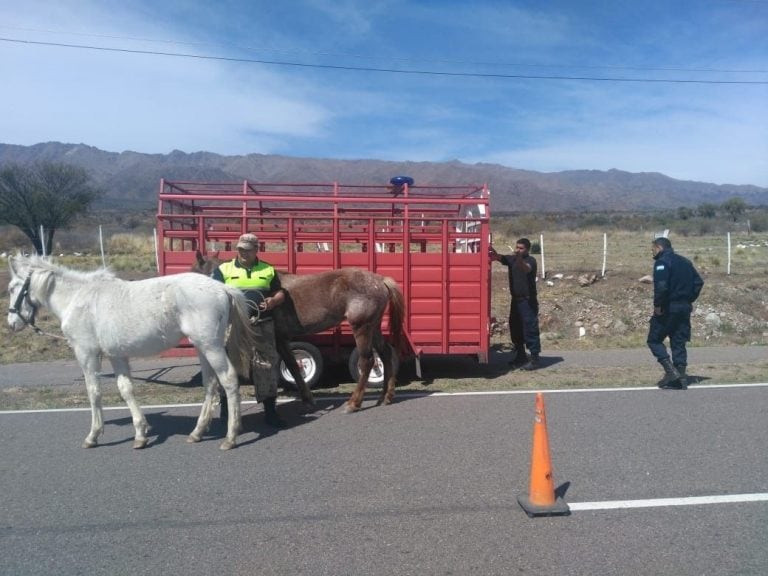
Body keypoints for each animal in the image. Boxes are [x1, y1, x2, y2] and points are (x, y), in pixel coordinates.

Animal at [6, 255, 255, 450]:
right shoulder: (117, 355)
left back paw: (231, 437)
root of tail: (222, 288)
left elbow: (93, 392)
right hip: (203, 347)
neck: (77, 298)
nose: (11, 324)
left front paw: (93, 435)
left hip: (211, 347)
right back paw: (197, 432)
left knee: (229, 381)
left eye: (11, 288)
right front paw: (140, 434)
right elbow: (126, 390)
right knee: (210, 384)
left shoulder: (86, 354)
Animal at [194, 251, 408, 410]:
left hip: (361, 327)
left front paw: (307, 398)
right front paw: (307, 398)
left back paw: (354, 403)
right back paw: (385, 397)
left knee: (368, 361)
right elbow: (294, 366)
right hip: (373, 326)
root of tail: (380, 280)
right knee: (386, 354)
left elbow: (292, 365)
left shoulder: (279, 338)